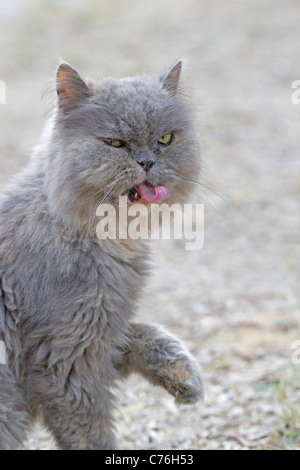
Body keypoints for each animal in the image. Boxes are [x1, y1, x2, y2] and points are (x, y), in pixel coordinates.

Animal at [0, 60, 203, 450]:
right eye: (115, 143)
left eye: (165, 140)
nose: (146, 161)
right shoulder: (65, 360)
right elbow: (91, 434)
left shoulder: (102, 333)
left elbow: (142, 333)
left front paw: (183, 376)